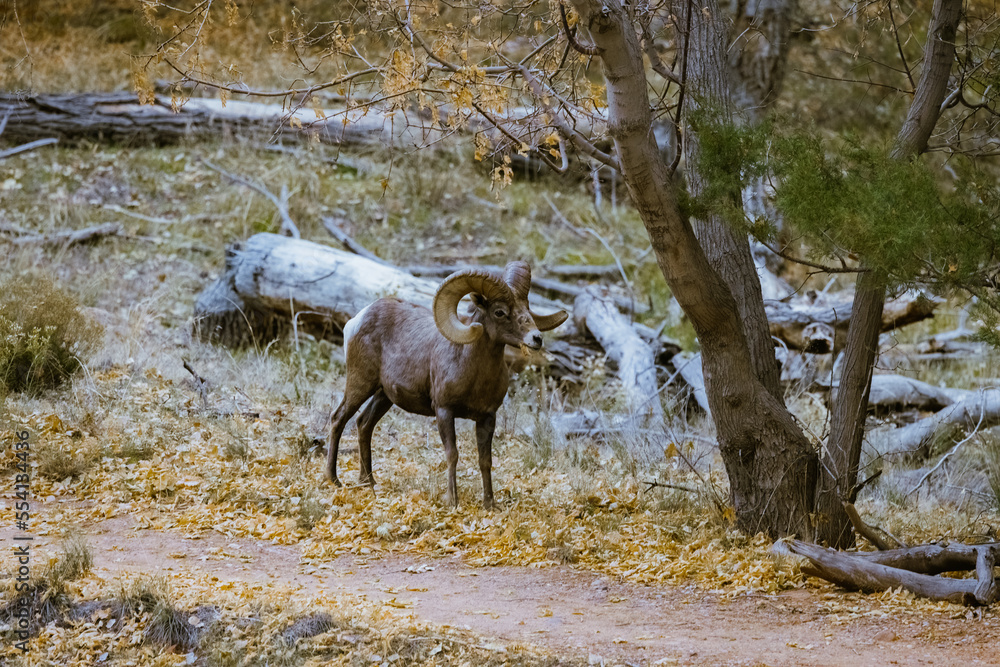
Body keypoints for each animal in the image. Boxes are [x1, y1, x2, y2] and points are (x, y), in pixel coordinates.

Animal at [326, 261, 567, 508]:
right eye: (500, 312)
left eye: (526, 307)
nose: (536, 338)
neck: (475, 375)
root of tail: (356, 320)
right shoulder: (444, 411)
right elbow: (452, 454)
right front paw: (453, 500)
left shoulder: (487, 417)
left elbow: (485, 460)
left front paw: (490, 504)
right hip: (360, 383)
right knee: (338, 418)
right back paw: (334, 480)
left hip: (383, 396)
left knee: (364, 424)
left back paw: (368, 482)